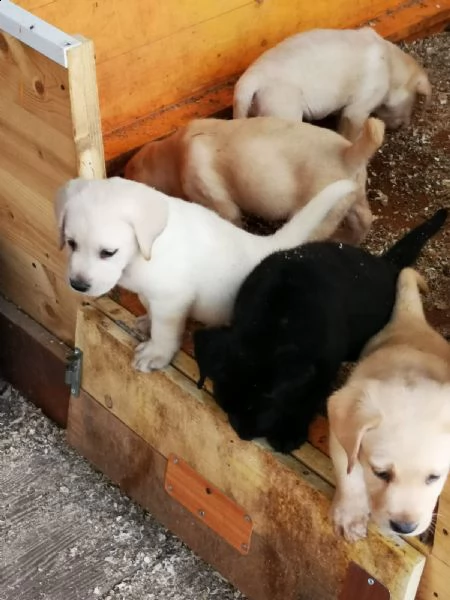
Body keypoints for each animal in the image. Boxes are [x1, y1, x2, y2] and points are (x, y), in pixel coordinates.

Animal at [55, 176, 358, 370]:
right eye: (71, 244)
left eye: (108, 252)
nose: (78, 285)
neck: (147, 249)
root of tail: (266, 247)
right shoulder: (154, 295)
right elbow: (149, 309)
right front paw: (146, 322)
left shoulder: (172, 300)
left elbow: (165, 330)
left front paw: (156, 353)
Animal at [125, 116, 384, 245]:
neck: (175, 155)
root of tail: (349, 153)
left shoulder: (215, 198)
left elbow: (229, 218)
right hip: (353, 199)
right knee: (363, 220)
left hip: (320, 214)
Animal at [195, 209, 448, 452]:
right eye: (225, 406)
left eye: (264, 406)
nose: (243, 435)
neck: (278, 319)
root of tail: (385, 264)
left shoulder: (324, 370)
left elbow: (307, 402)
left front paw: (289, 433)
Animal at [234, 28, 430, 141]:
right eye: (413, 100)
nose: (404, 126)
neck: (391, 65)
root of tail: (251, 78)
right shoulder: (357, 110)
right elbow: (350, 135)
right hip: (285, 111)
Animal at [326, 270, 450, 540]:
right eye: (381, 473)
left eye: (434, 477)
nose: (404, 527)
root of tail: (411, 319)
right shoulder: (341, 439)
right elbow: (349, 477)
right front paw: (350, 517)